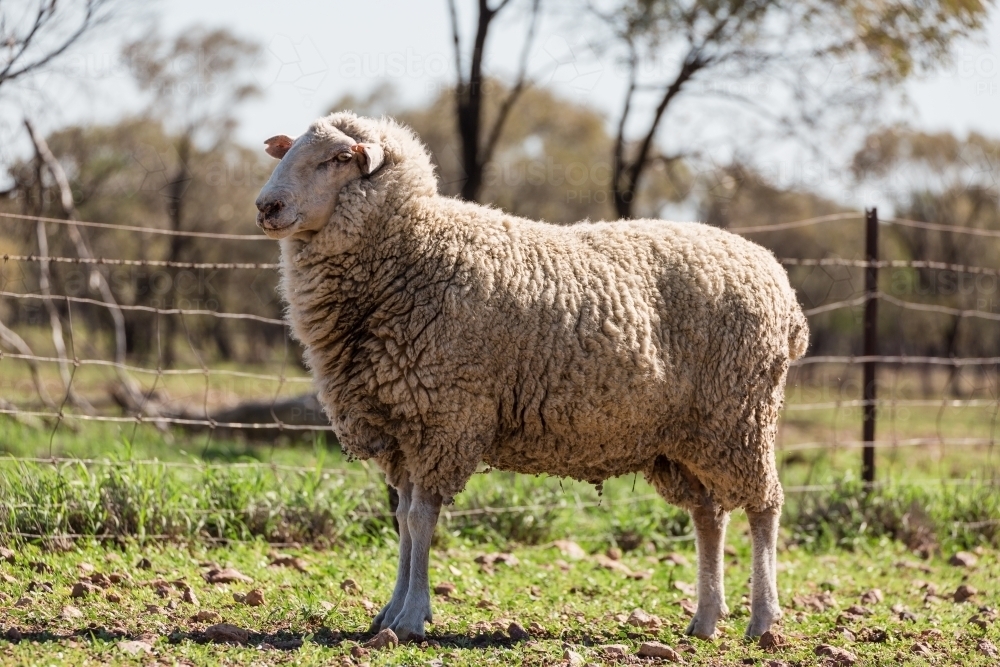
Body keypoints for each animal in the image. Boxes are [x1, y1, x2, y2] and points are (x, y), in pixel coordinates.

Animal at [254, 111, 808, 640]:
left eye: (339, 158)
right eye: (292, 151)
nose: (266, 206)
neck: (412, 250)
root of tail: (782, 287)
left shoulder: (445, 419)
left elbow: (419, 518)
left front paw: (410, 617)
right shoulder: (405, 426)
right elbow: (405, 521)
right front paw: (390, 613)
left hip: (740, 418)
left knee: (764, 507)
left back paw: (762, 619)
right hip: (688, 436)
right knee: (709, 517)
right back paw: (706, 619)